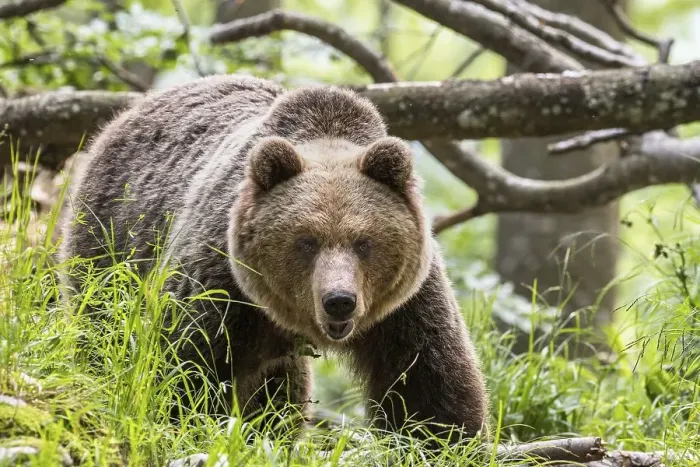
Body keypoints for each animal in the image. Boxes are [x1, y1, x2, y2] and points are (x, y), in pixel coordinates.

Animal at [58, 74, 488, 443]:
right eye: (306, 241)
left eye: (364, 241)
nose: (339, 301)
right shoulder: (223, 283)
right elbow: (186, 366)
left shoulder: (404, 305)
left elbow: (428, 388)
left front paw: (442, 440)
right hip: (110, 241)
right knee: (103, 325)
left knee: (281, 393)